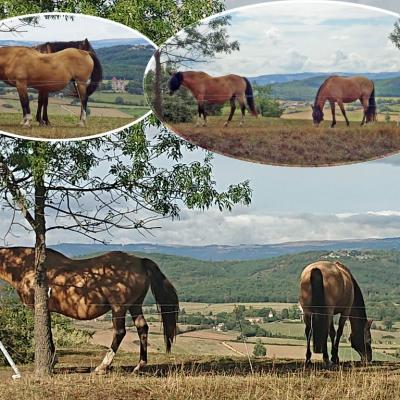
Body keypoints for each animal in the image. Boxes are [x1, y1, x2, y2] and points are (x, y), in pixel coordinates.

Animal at [0, 245, 178, 374]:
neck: (26, 265)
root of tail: (140, 261)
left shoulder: (40, 308)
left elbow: (45, 333)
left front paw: (52, 361)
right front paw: (52, 360)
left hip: (119, 308)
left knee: (120, 332)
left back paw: (102, 367)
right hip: (135, 306)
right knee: (142, 328)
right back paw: (139, 366)